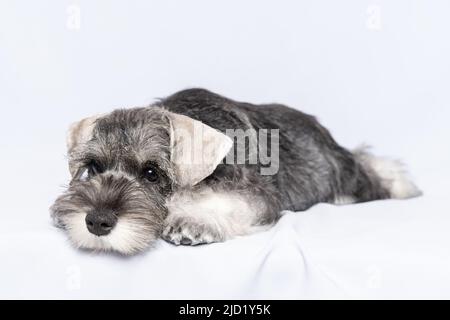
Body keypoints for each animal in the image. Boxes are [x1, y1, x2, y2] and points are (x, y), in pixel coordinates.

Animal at [51, 88, 420, 255]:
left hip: (343, 172)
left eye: (152, 173)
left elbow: (225, 202)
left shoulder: (257, 195)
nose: (96, 222)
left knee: (371, 170)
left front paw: (193, 221)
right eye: (94, 167)